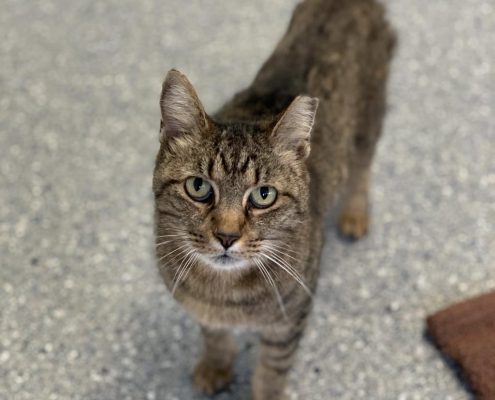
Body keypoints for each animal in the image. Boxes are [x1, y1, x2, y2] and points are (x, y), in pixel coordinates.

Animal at [153, 0, 398, 398]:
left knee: (361, 168)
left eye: (263, 195)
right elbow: (215, 335)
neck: (224, 294)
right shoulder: (204, 311)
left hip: (368, 121)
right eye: (199, 187)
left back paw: (355, 213)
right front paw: (216, 366)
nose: (226, 236)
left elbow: (272, 371)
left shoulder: (290, 319)